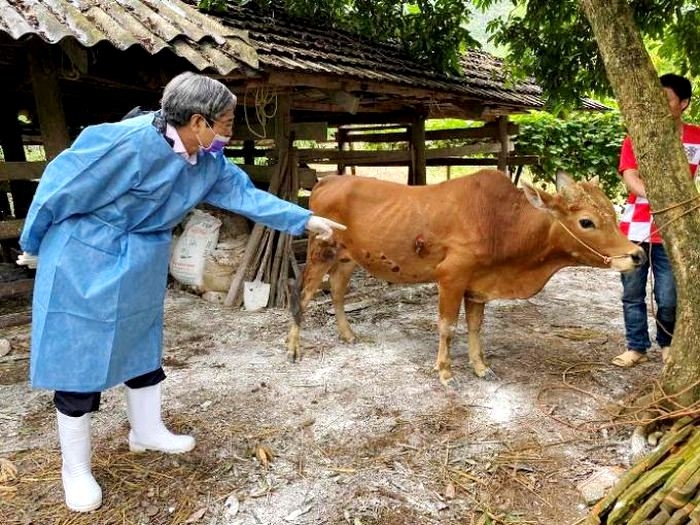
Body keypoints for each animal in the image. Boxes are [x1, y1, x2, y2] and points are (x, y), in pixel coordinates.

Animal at [286, 171, 644, 384]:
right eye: (586, 222)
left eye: (613, 216)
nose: (637, 255)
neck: (502, 223)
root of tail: (326, 181)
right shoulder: (451, 278)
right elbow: (447, 326)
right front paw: (445, 371)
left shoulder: (477, 287)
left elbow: (475, 327)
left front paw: (480, 366)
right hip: (320, 250)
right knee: (303, 293)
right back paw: (293, 348)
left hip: (347, 258)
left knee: (336, 290)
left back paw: (347, 334)